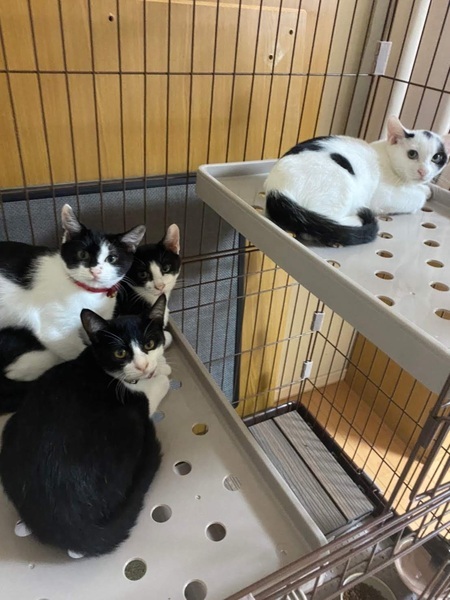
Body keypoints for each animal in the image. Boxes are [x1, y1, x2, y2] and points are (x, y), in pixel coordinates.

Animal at [0, 204, 146, 382]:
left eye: (111, 258)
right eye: (82, 254)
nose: (95, 270)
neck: (88, 293)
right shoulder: (55, 332)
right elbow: (77, 350)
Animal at [0, 295, 170, 558]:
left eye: (150, 343)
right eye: (120, 353)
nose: (143, 366)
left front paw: (158, 363)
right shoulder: (138, 401)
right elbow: (160, 384)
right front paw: (162, 370)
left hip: (11, 429)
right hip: (130, 423)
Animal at [264, 115, 450, 246]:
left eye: (436, 157)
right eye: (412, 154)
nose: (423, 171)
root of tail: (276, 190)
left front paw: (426, 188)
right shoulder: (384, 196)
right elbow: (414, 199)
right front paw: (423, 193)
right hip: (342, 186)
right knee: (315, 228)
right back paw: (355, 220)